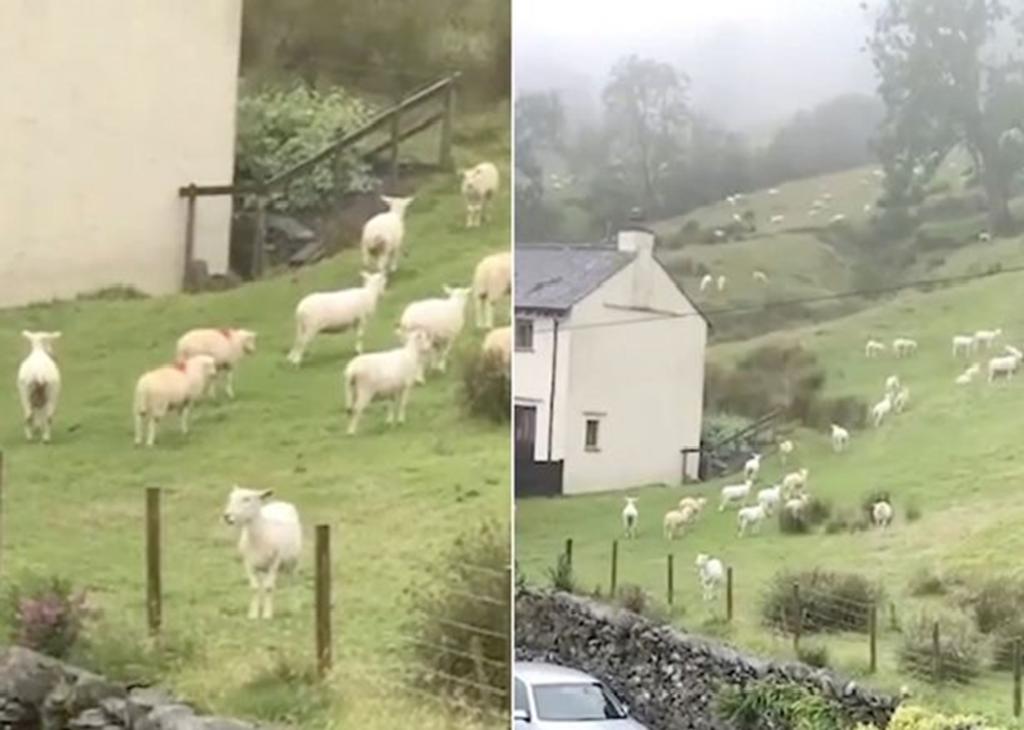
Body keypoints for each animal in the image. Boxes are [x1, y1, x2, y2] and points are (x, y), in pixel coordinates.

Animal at [222, 487, 301, 618]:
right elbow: (254, 588)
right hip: (263, 568)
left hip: (293, 562)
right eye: (230, 498)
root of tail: (280, 502)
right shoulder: (248, 563)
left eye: (247, 499)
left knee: (292, 582)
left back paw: (293, 606)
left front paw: (267, 615)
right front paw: (253, 614)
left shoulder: (274, 562)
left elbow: (269, 588)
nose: (227, 516)